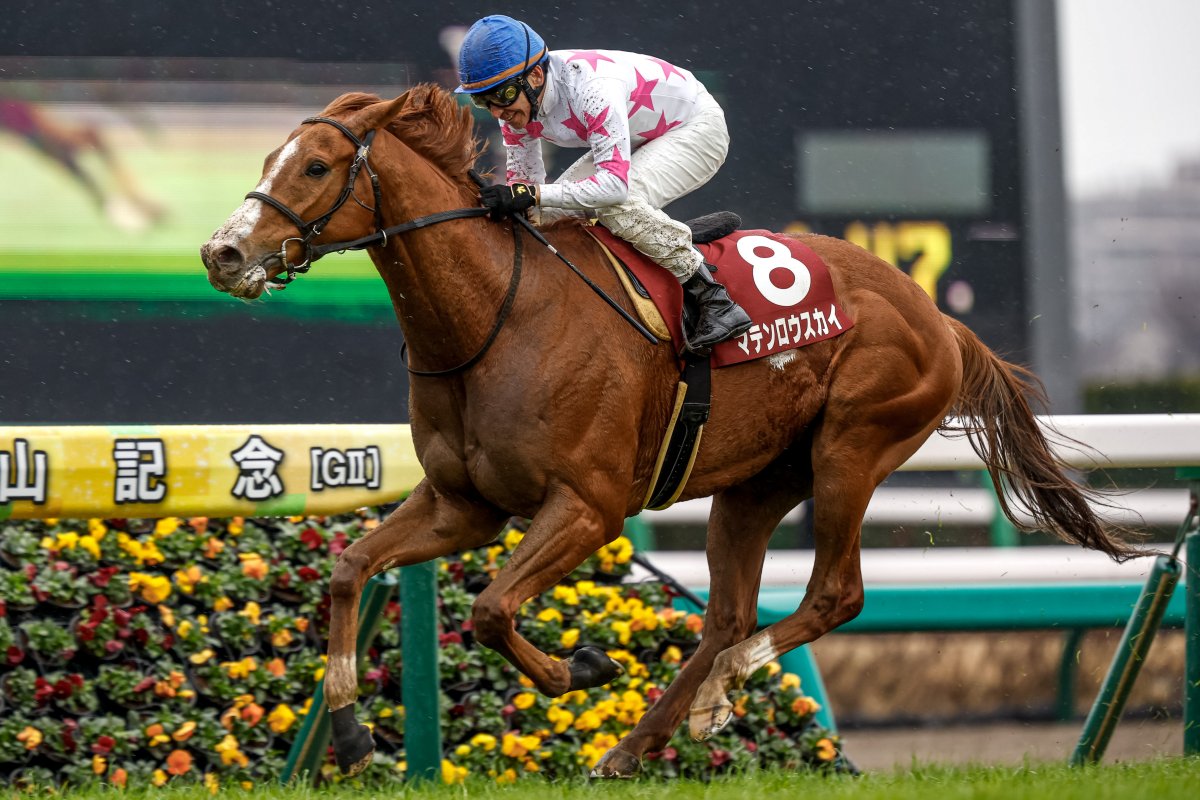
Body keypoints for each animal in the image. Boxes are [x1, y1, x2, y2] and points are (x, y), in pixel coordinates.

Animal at [200, 85, 1137, 778]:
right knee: (726, 613)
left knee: (833, 595)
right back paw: (635, 744)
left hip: (852, 448)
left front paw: (582, 666)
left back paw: (722, 693)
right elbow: (349, 569)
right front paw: (352, 734)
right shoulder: (462, 503)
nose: (222, 252)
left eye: (316, 164)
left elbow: (494, 609)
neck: (495, 317)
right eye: (268, 158)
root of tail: (939, 317)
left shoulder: (589, 507)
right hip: (758, 482)